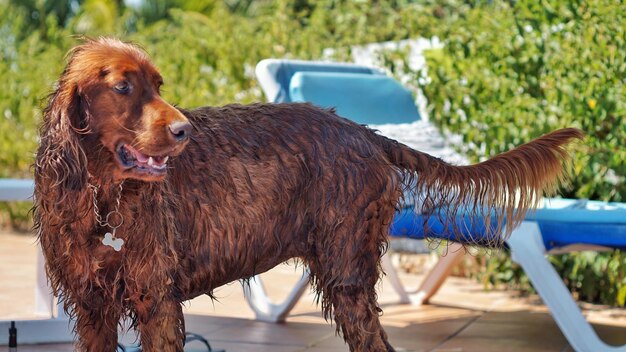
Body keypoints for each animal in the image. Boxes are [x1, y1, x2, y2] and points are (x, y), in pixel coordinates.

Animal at [33, 37, 580, 350]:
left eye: (158, 85)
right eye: (124, 87)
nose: (186, 131)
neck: (101, 199)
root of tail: (363, 132)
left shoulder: (157, 303)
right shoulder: (93, 309)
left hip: (347, 277)